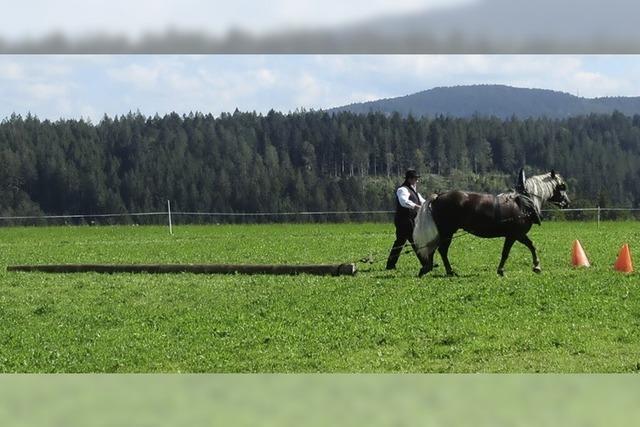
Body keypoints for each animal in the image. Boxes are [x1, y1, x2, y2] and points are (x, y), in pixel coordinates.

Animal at [416, 171, 568, 278]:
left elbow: (529, 246)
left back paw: (439, 269)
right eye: (561, 186)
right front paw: (533, 267)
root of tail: (438, 196)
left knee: (438, 249)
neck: (523, 203)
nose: (566, 202)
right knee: (440, 249)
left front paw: (535, 266)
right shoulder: (515, 234)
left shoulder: (517, 235)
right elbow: (510, 251)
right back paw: (439, 269)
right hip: (447, 231)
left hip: (446, 232)